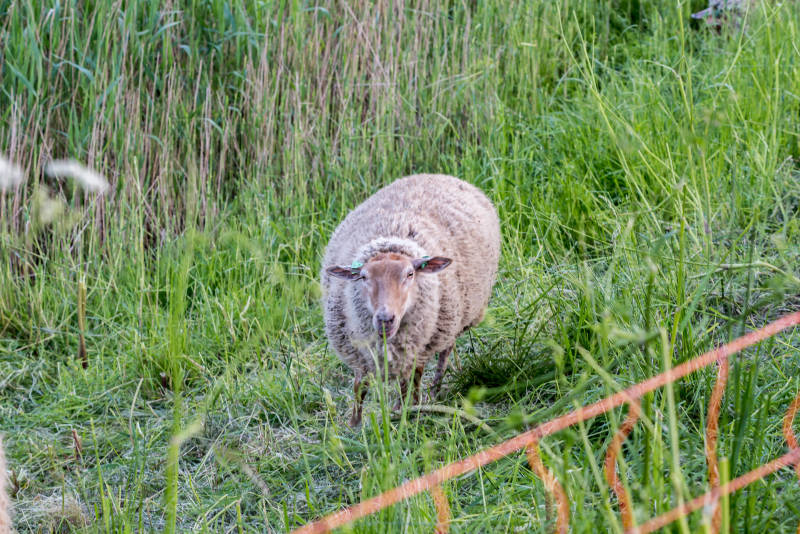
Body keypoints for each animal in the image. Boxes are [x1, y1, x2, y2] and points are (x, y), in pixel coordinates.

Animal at [321, 174, 501, 426]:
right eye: (364, 277)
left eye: (410, 274)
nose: (385, 319)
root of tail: (438, 175)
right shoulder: (358, 350)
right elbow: (359, 386)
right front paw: (354, 425)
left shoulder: (420, 344)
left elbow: (412, 381)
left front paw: (409, 413)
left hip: (450, 320)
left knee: (443, 354)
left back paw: (432, 391)